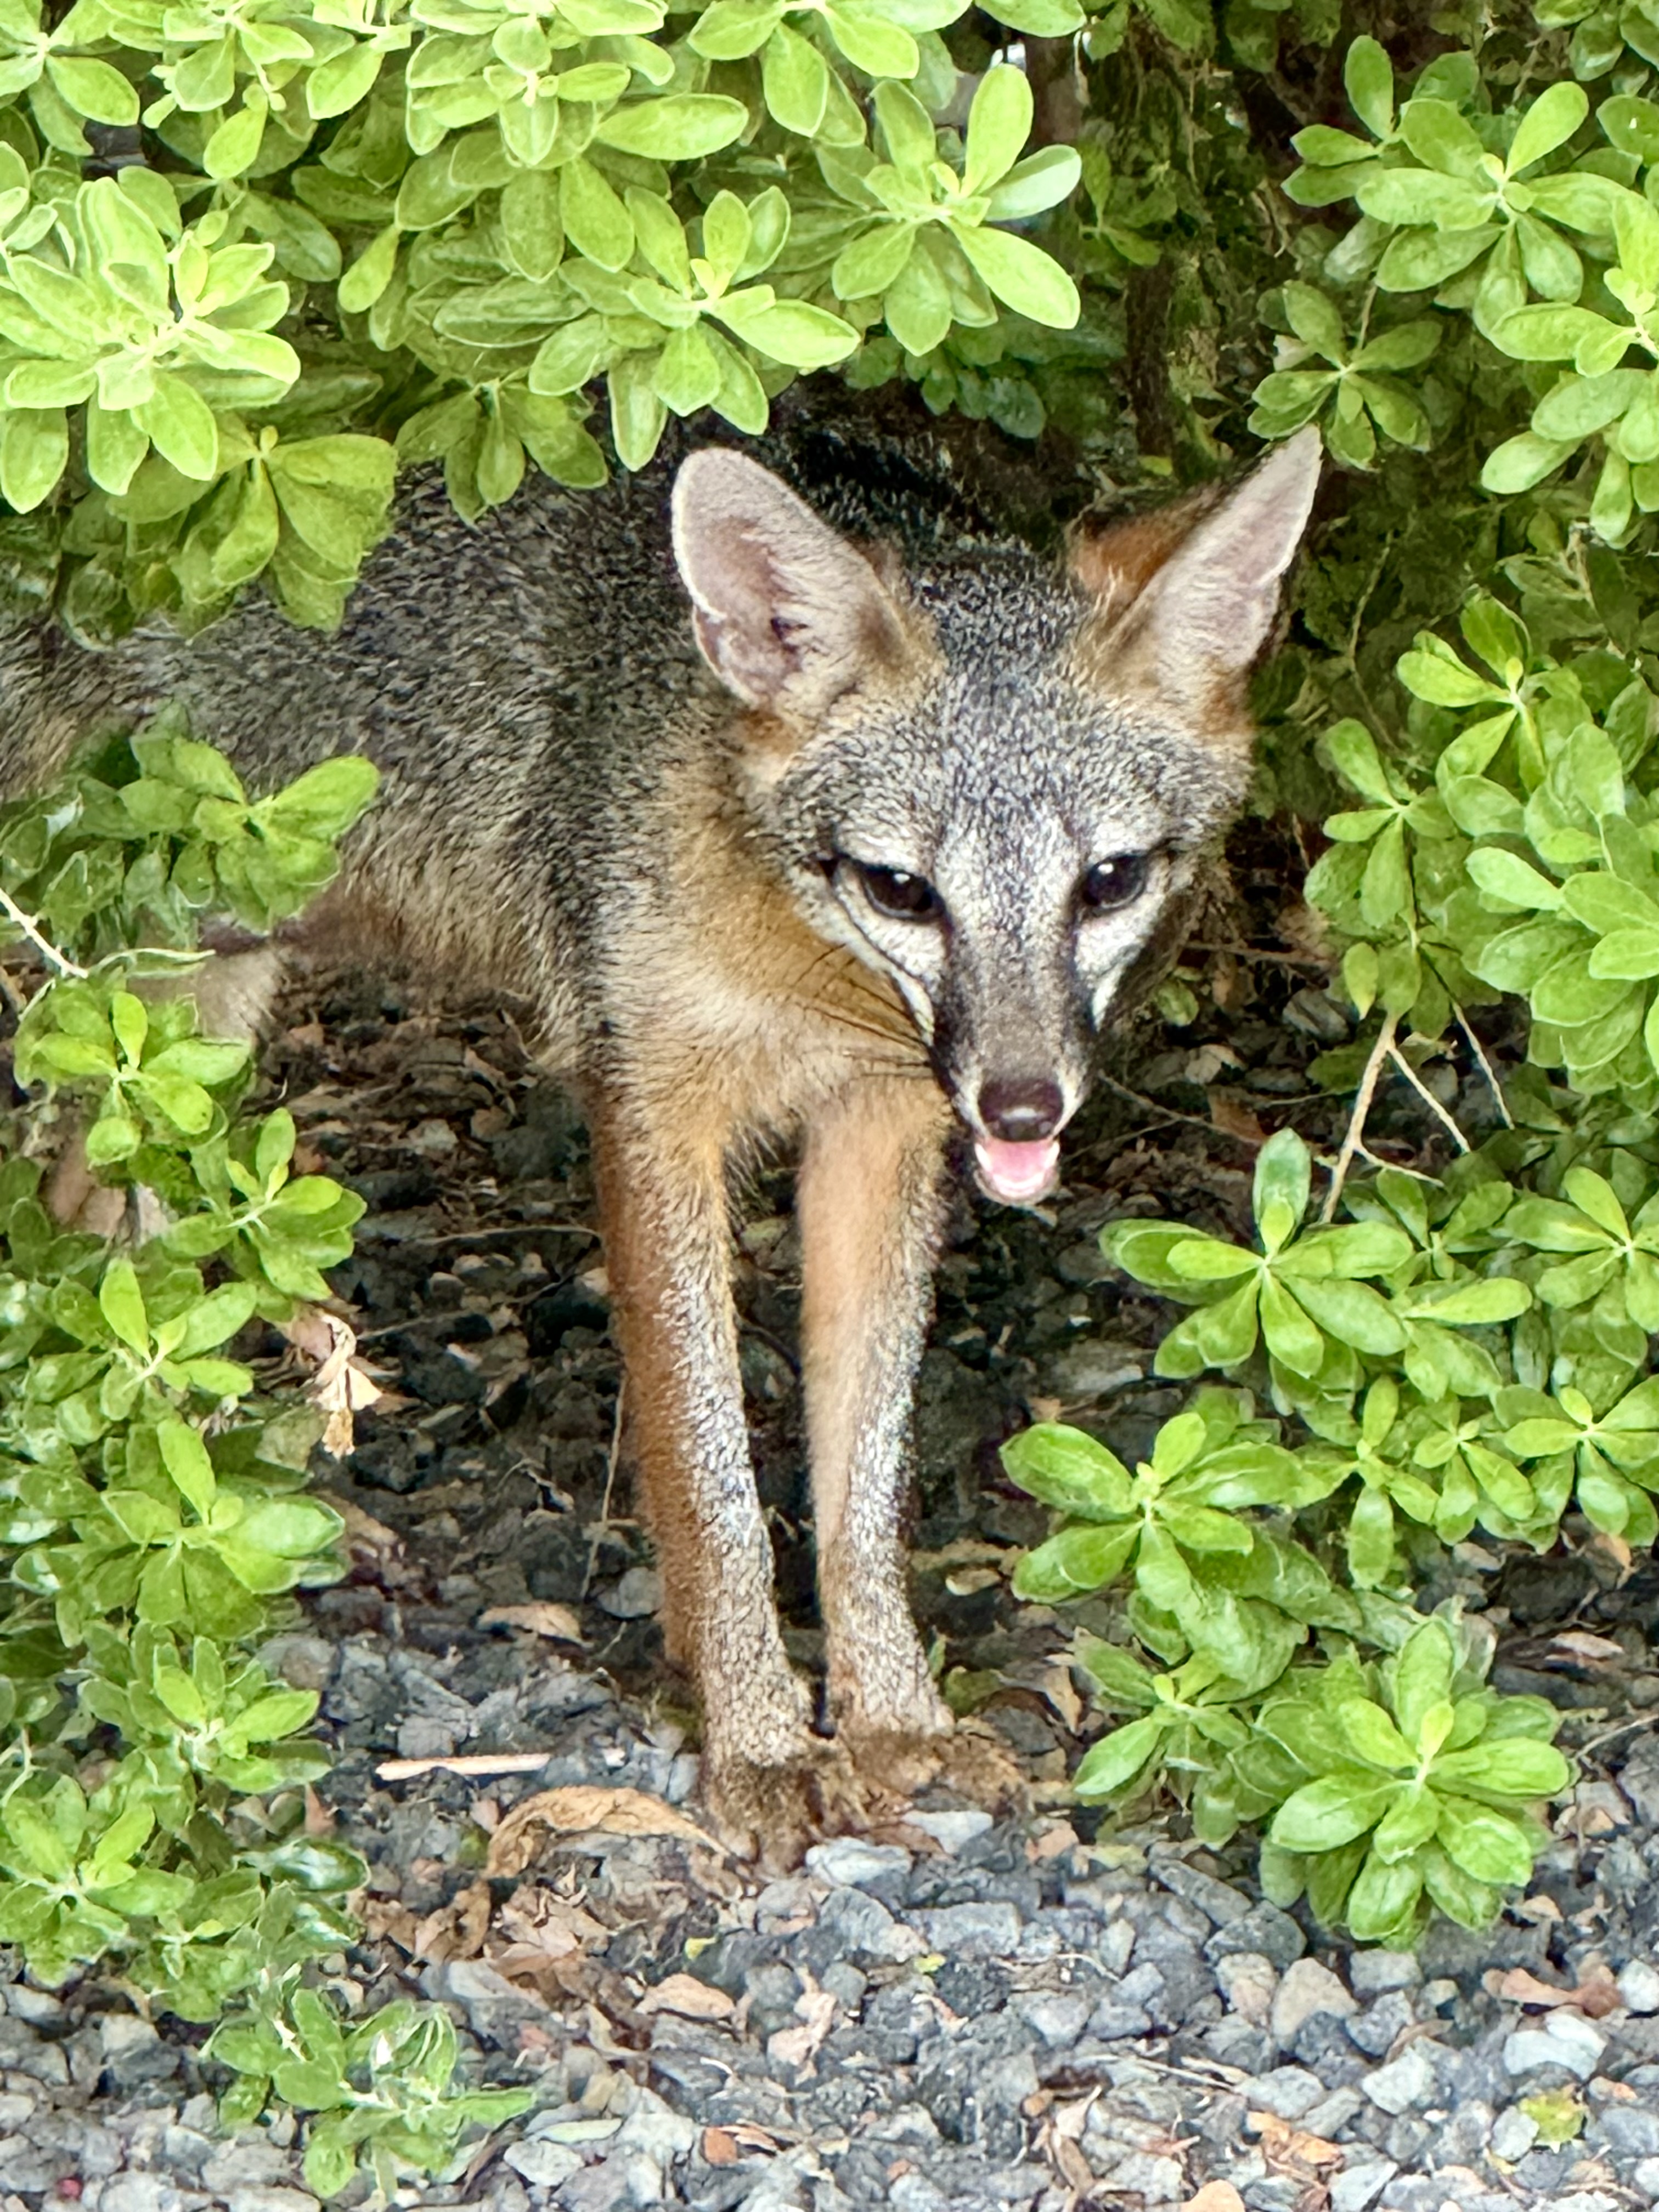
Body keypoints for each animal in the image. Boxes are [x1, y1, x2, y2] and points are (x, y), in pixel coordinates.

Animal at [1, 419, 1321, 1858]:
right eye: (901, 890)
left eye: (1110, 882)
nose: (1023, 1106)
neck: (798, 975)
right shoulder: (647, 1104)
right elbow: (709, 1477)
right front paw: (759, 1744)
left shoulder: (883, 1126)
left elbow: (864, 1480)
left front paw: (892, 1719)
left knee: (91, 1228)